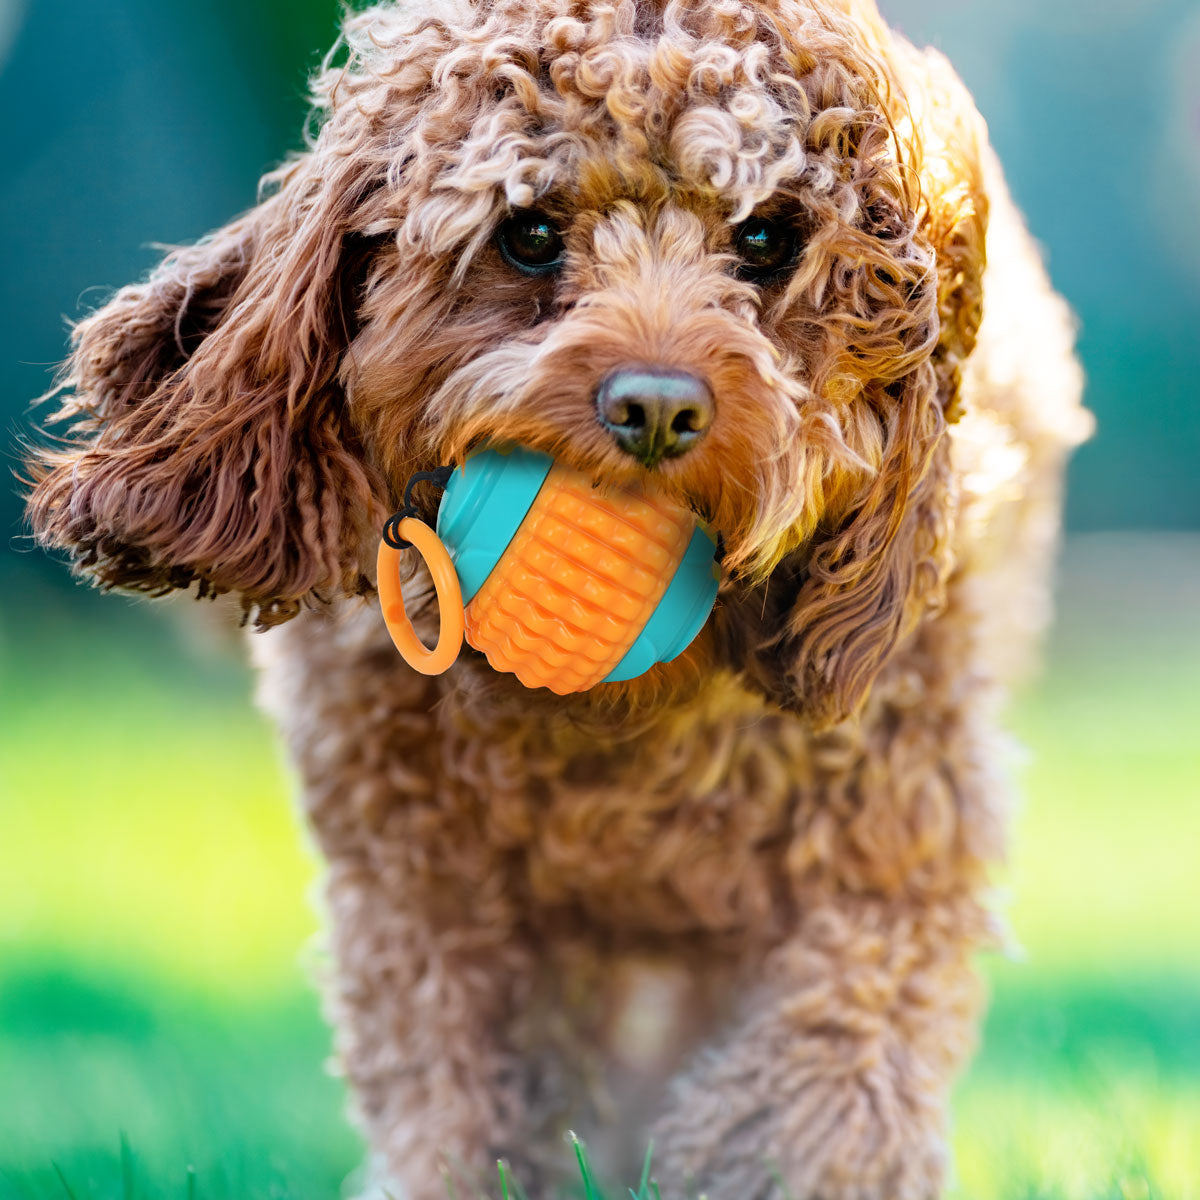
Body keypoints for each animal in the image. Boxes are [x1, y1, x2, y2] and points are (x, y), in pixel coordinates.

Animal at [28, 0, 1094, 1195]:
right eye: (529, 233)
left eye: (766, 238)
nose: (659, 408)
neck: (617, 726)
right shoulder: (429, 899)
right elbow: (458, 1105)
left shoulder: (879, 858)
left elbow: (821, 1090)